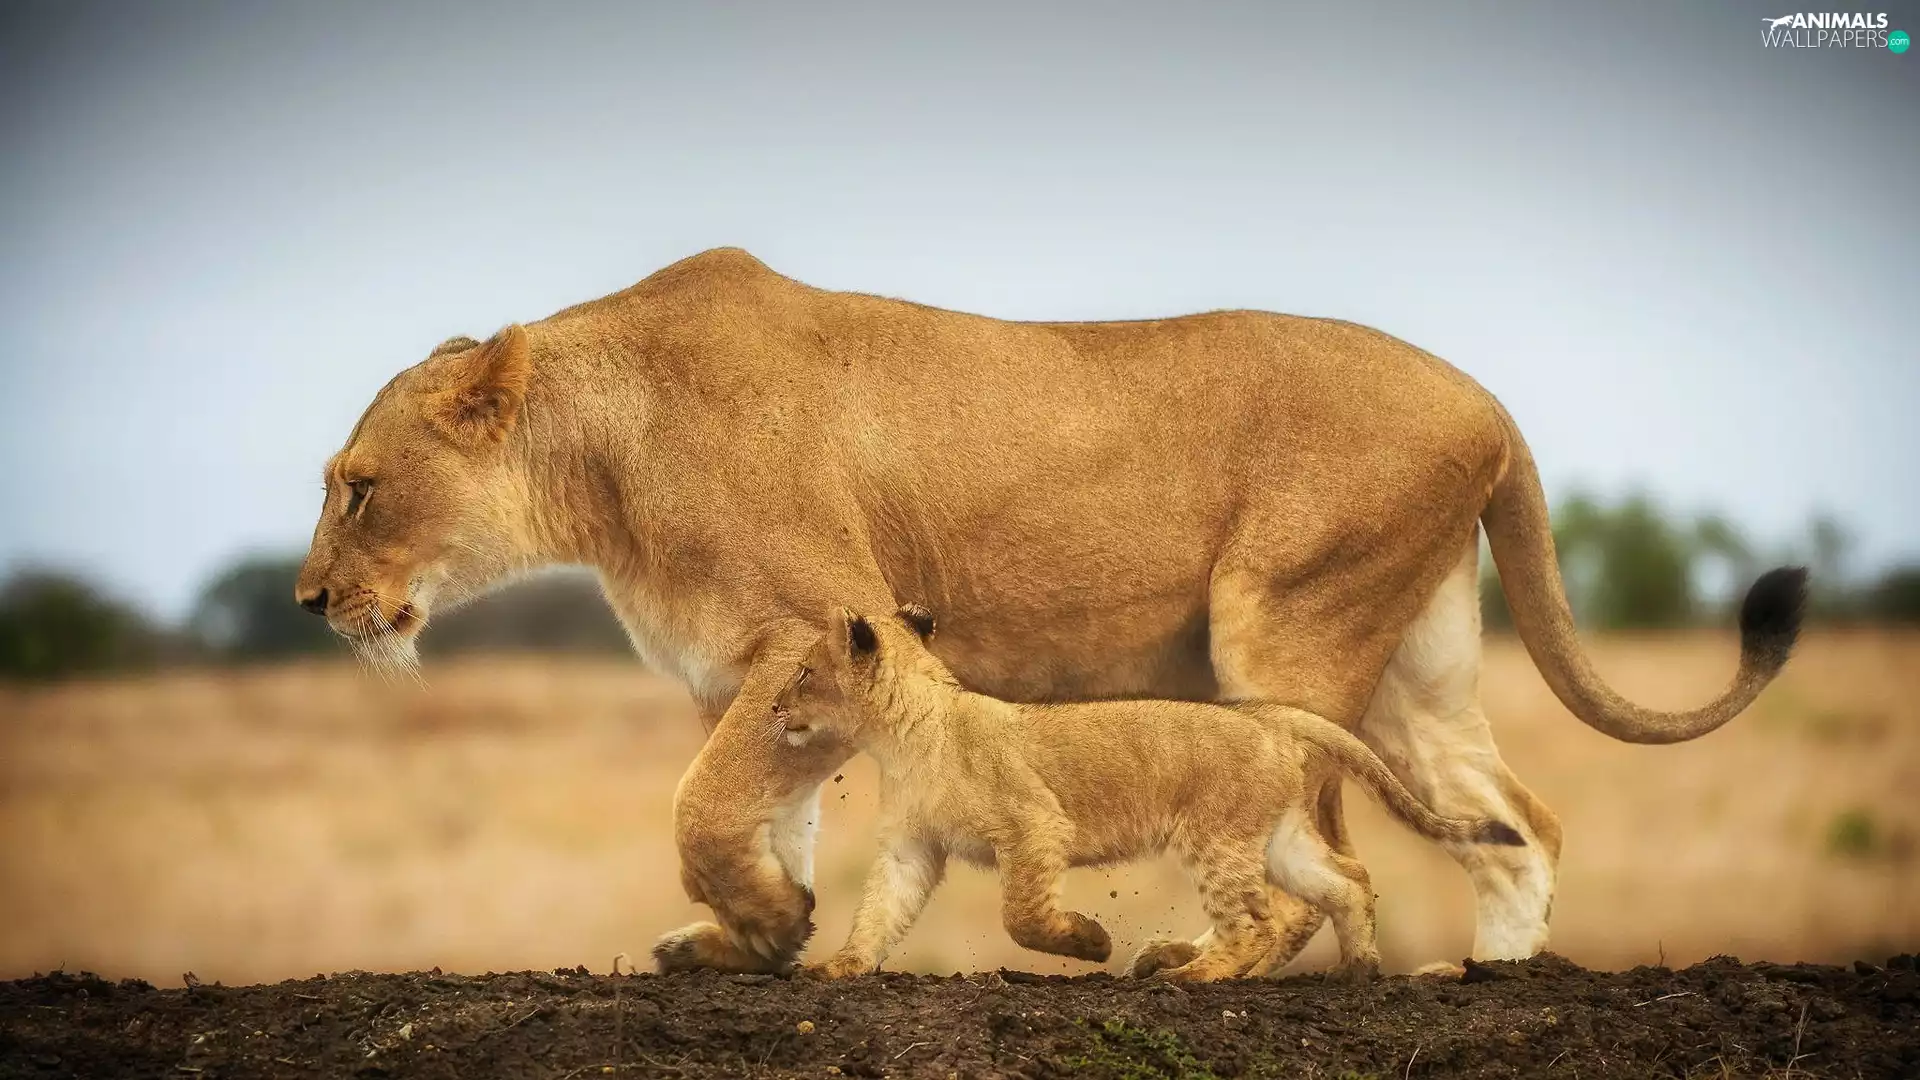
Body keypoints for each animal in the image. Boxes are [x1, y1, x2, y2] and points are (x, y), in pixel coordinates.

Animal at [772, 604, 1525, 982]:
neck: (899, 738)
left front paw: (1091, 942)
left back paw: (1194, 975)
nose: (774, 708)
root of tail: (1269, 716)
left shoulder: (1035, 826)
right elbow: (880, 909)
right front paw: (842, 966)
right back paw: (1360, 968)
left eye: (805, 673)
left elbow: (1022, 915)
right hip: (1275, 837)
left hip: (1216, 839)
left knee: (1255, 920)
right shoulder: (911, 848)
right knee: (1342, 880)